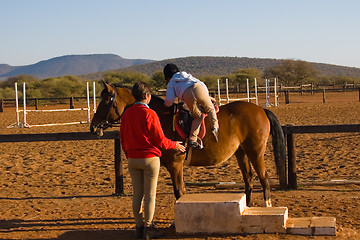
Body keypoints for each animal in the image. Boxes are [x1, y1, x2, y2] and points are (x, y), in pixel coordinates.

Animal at [90, 81, 286, 207]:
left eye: (106, 101)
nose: (93, 127)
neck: (160, 118)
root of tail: (262, 109)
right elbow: (181, 191)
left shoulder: (175, 164)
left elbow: (179, 192)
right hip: (241, 152)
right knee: (249, 180)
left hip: (255, 152)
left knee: (264, 179)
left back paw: (267, 207)